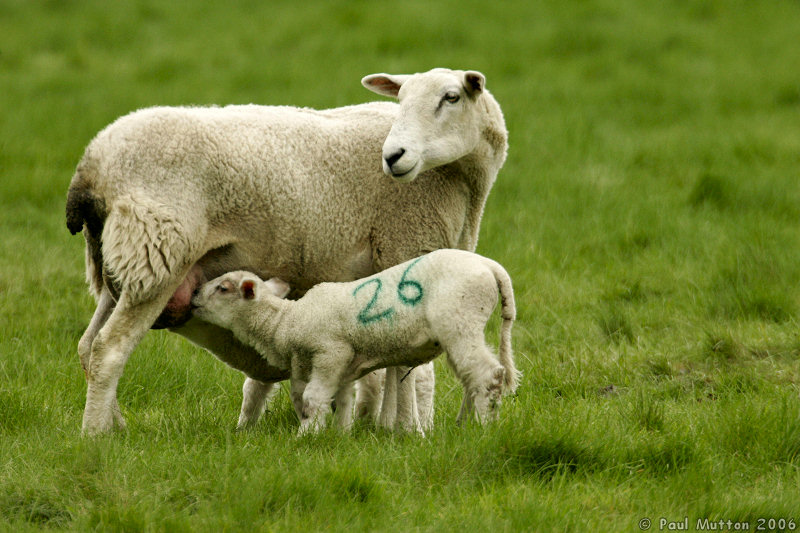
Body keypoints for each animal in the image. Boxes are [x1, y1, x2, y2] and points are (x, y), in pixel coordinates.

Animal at [191, 248, 520, 432]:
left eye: (222, 288)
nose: (193, 296)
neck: (288, 320)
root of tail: (492, 267)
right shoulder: (345, 367)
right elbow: (343, 400)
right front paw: (340, 436)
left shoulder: (331, 352)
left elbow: (313, 399)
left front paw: (306, 437)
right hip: (465, 327)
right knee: (474, 378)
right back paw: (464, 425)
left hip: (460, 321)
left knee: (488, 375)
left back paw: (481, 428)